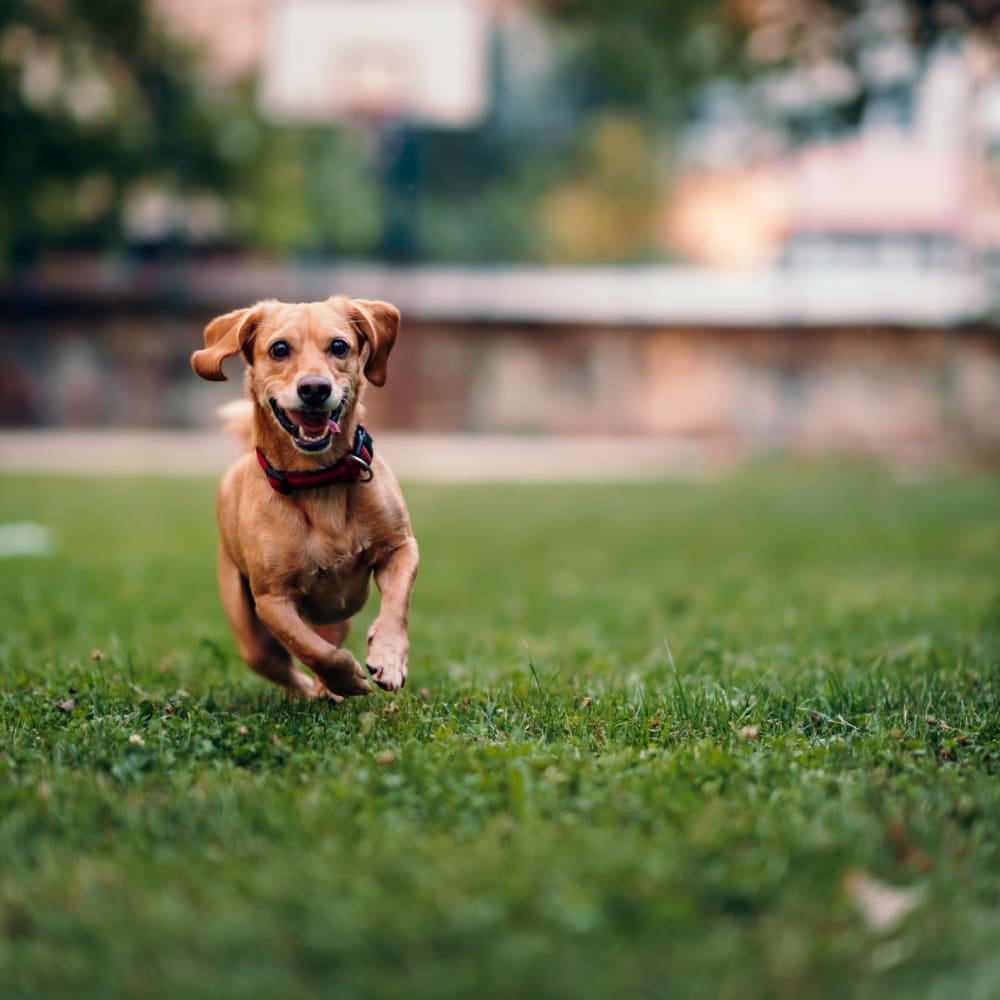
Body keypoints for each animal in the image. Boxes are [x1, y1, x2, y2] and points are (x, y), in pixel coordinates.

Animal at [191, 296, 418, 700]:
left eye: (339, 346)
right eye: (279, 349)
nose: (314, 388)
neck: (318, 479)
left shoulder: (401, 548)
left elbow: (396, 605)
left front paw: (389, 657)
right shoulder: (272, 601)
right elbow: (315, 651)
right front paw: (348, 679)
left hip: (335, 620)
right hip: (250, 635)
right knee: (285, 667)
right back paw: (316, 693)